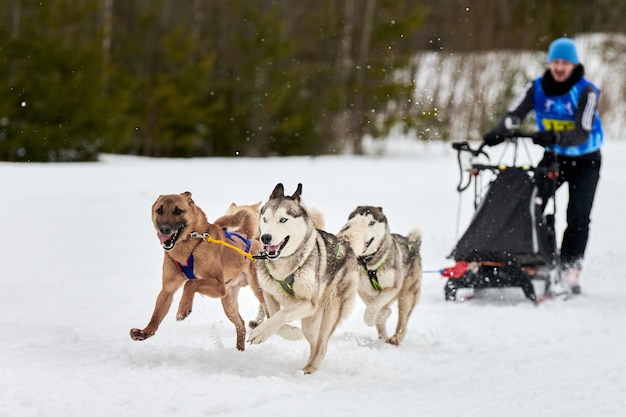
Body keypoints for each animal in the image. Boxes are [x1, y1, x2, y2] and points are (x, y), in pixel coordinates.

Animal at [247, 183, 358, 374]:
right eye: (265, 219)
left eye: (283, 220)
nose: (265, 237)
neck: (284, 265)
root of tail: (346, 246)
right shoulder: (268, 294)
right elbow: (275, 317)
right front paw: (289, 332)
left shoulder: (309, 303)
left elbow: (282, 313)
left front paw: (262, 332)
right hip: (311, 323)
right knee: (314, 344)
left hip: (326, 313)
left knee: (321, 347)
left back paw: (308, 370)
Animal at [336, 205, 420, 344]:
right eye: (354, 220)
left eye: (371, 223)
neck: (369, 264)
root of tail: (412, 243)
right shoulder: (363, 289)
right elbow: (373, 306)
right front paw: (382, 314)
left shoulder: (392, 287)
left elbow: (374, 307)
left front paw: (376, 316)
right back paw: (383, 337)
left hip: (407, 296)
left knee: (403, 320)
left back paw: (396, 338)